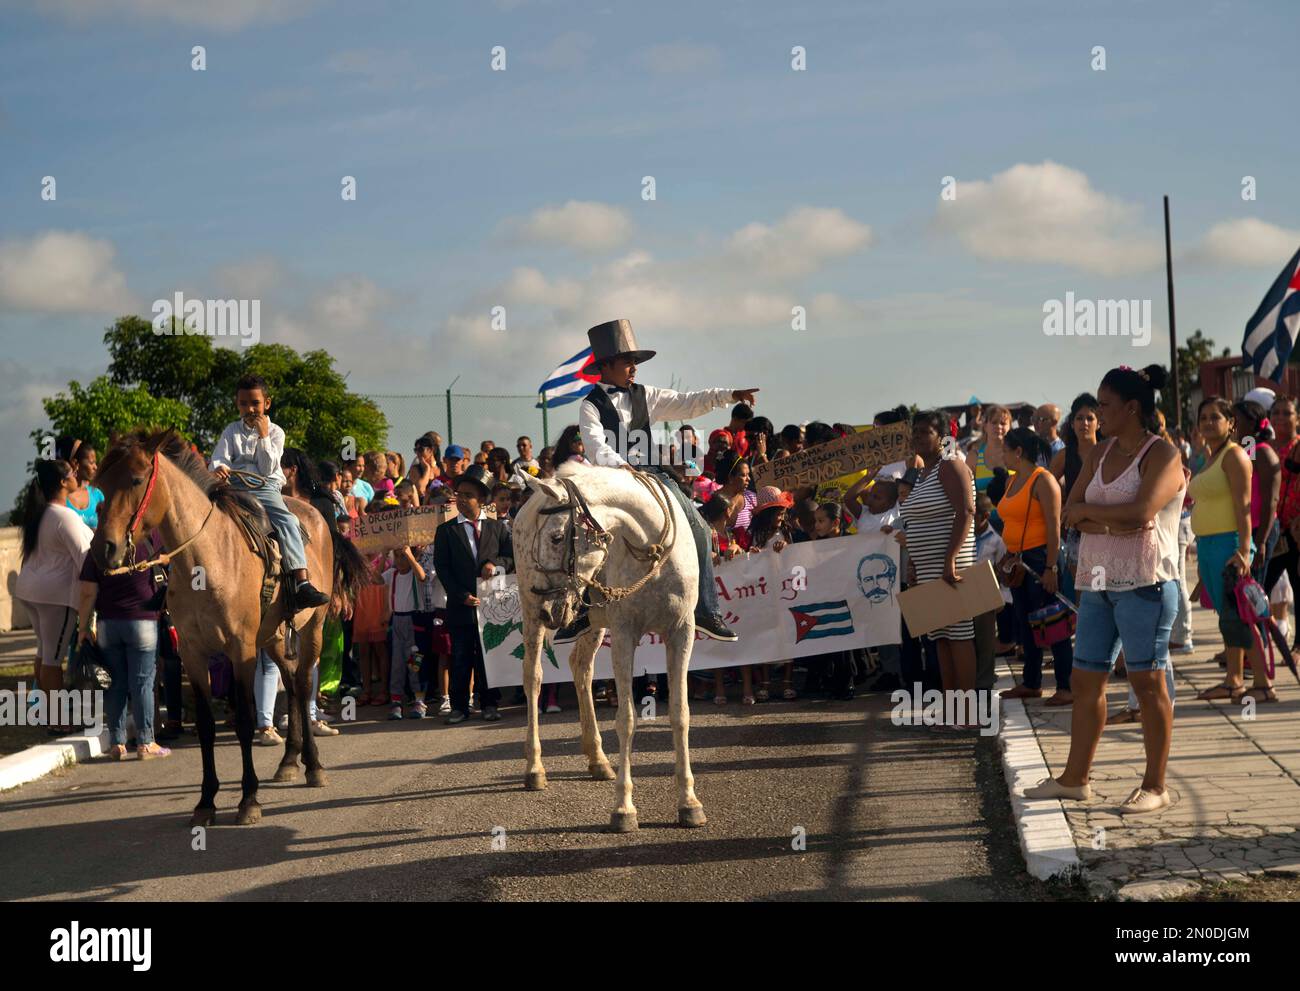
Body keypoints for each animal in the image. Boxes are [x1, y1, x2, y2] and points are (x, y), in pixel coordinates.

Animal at [92, 429, 369, 821]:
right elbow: (207, 726)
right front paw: (206, 801)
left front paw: (249, 799)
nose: (104, 549)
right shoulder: (193, 653)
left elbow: (245, 722)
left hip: (311, 629)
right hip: (272, 637)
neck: (206, 561)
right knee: (290, 684)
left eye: (135, 479)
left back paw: (313, 766)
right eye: (100, 484)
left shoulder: (241, 651)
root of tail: (316, 515)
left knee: (302, 685)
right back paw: (289, 761)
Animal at [512, 460, 707, 832]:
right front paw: (624, 808)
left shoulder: (681, 631)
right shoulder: (625, 633)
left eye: (556, 537)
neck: (650, 550)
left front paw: (689, 802)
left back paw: (598, 759)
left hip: (588, 621)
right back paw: (534, 768)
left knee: (581, 668)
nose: (549, 610)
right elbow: (626, 718)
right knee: (533, 677)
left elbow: (681, 714)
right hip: (531, 613)